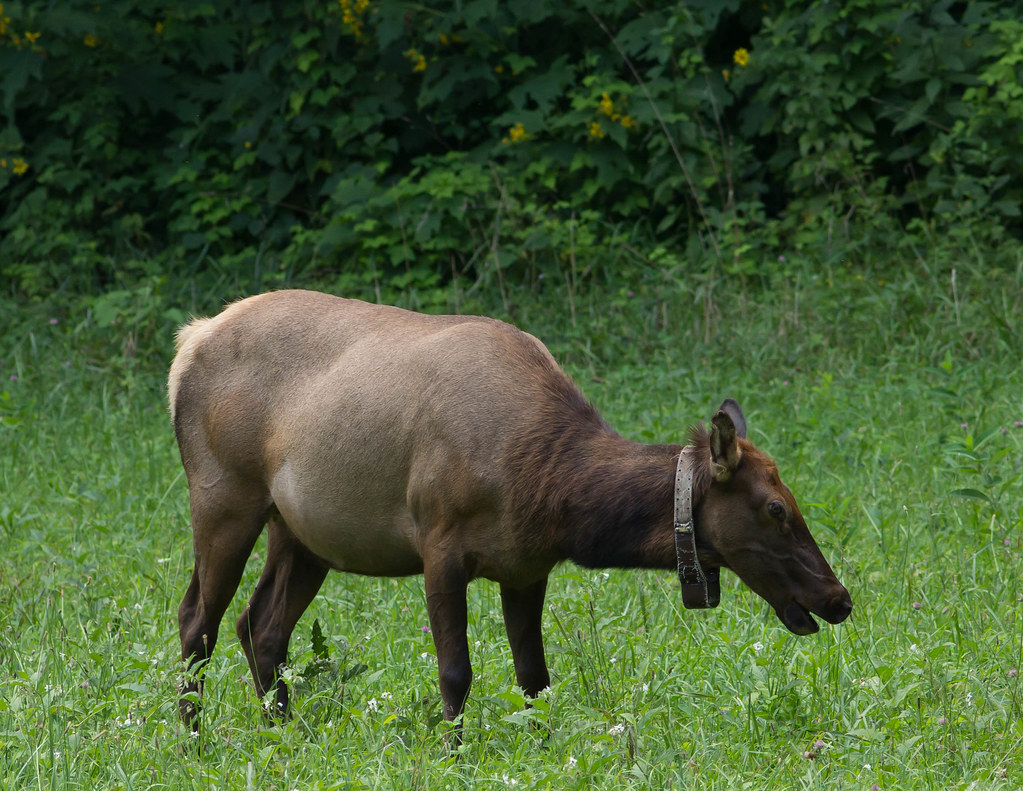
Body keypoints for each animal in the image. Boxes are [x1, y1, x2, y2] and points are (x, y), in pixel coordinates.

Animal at [168, 289, 852, 736]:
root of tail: (186, 344)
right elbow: (455, 673)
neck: (547, 493)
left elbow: (535, 677)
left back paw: (284, 734)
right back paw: (195, 739)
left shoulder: (526, 567)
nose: (838, 597)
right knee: (197, 620)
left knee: (261, 627)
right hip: (223, 496)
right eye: (775, 508)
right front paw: (454, 752)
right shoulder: (439, 544)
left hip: (303, 532)